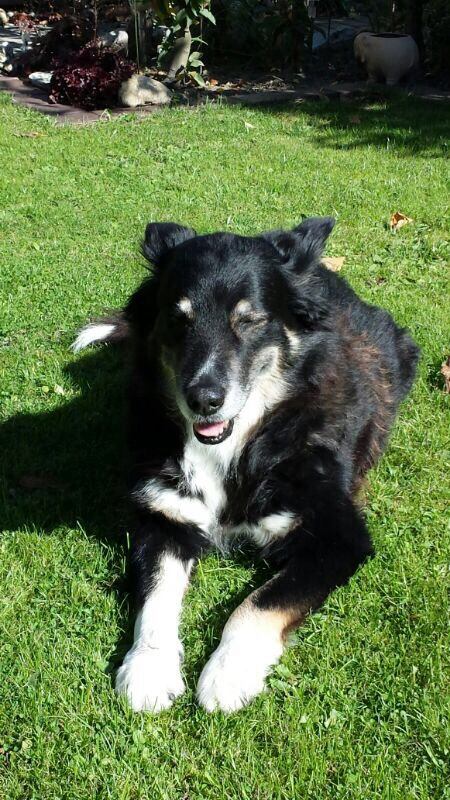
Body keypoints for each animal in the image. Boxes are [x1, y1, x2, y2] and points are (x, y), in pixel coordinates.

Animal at [73, 217, 419, 713]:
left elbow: (258, 603)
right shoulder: (165, 517)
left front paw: (226, 672)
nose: (203, 400)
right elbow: (155, 599)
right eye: (178, 319)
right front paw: (148, 668)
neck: (241, 442)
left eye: (250, 321)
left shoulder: (338, 537)